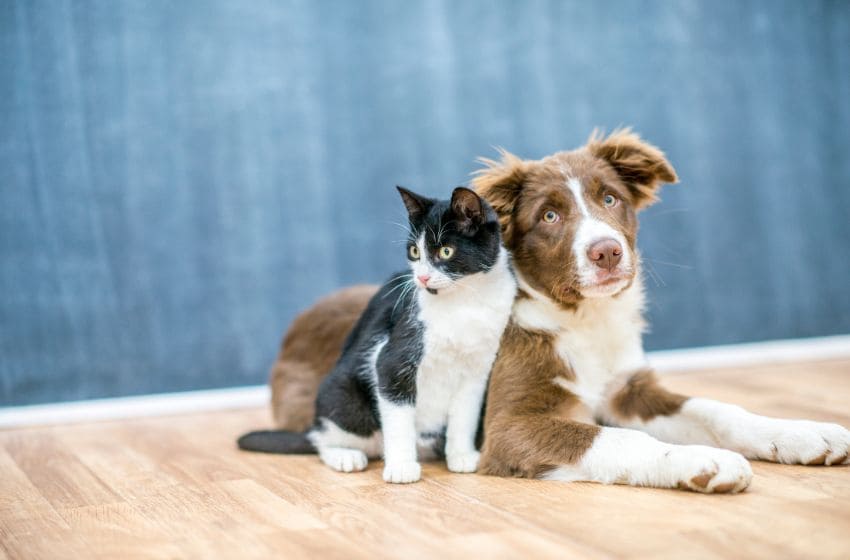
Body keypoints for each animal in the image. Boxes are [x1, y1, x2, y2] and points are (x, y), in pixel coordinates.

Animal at [238, 186, 516, 484]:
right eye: (415, 251)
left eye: (446, 251)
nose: (422, 279)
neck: (464, 302)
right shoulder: (392, 359)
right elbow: (398, 416)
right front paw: (402, 467)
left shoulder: (478, 370)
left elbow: (465, 415)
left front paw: (462, 456)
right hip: (344, 398)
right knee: (322, 438)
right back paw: (345, 456)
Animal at [266, 129, 848, 492]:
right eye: (549, 216)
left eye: (610, 199)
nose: (607, 252)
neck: (581, 321)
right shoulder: (510, 424)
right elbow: (617, 439)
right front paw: (696, 461)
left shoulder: (628, 388)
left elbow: (717, 409)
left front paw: (803, 434)